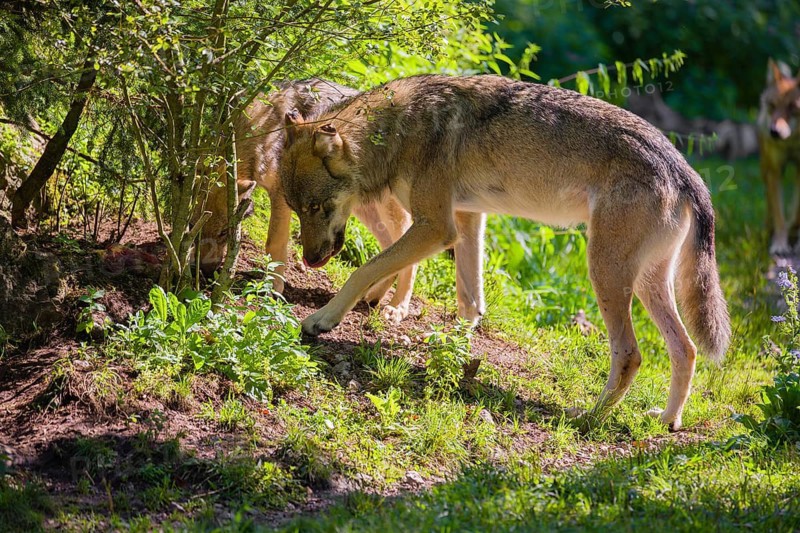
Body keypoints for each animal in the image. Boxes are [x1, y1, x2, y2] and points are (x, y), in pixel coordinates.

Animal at [196, 79, 417, 323]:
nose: (205, 271)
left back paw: (397, 307)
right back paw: (373, 296)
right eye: (193, 229)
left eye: (224, 233)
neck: (259, 126)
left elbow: (273, 243)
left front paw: (272, 288)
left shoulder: (280, 195)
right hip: (361, 210)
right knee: (390, 249)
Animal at [278, 74, 731, 431]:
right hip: (648, 283)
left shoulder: (436, 227)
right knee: (686, 349)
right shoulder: (467, 218)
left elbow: (366, 267)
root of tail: (685, 169)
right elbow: (469, 301)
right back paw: (667, 420)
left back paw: (589, 417)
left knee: (631, 355)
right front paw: (452, 349)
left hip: (605, 273)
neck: (400, 128)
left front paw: (323, 319)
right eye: (295, 207)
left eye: (317, 207)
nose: (310, 260)